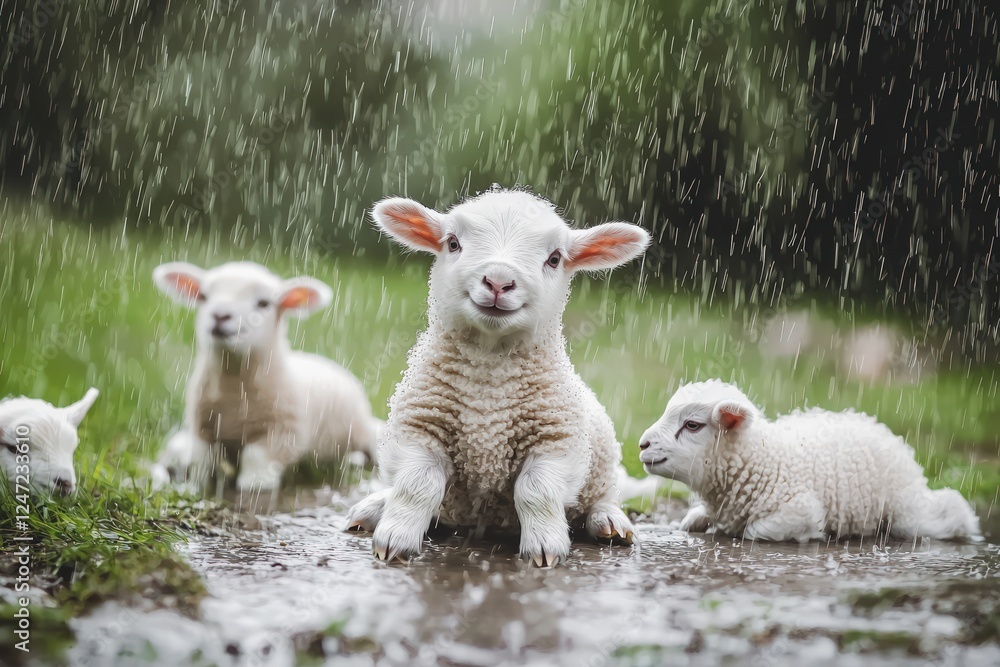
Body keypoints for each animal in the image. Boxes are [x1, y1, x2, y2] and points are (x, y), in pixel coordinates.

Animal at [152, 261, 382, 491]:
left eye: (263, 303)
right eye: (204, 297)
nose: (220, 315)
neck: (234, 385)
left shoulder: (283, 430)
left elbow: (256, 457)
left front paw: (255, 483)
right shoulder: (202, 426)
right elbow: (202, 459)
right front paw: (197, 484)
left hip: (360, 429)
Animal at [345, 188, 652, 567]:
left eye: (554, 259)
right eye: (452, 243)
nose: (499, 281)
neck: (488, 383)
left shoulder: (554, 441)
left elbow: (536, 492)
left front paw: (544, 548)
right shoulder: (420, 429)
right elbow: (417, 487)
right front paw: (395, 539)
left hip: (603, 455)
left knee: (603, 494)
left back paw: (609, 521)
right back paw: (375, 508)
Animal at [638, 380, 982, 542]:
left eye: (692, 425)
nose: (642, 444)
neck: (763, 460)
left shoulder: (799, 509)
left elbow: (755, 531)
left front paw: (816, 534)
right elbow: (692, 520)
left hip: (906, 514)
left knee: (947, 512)